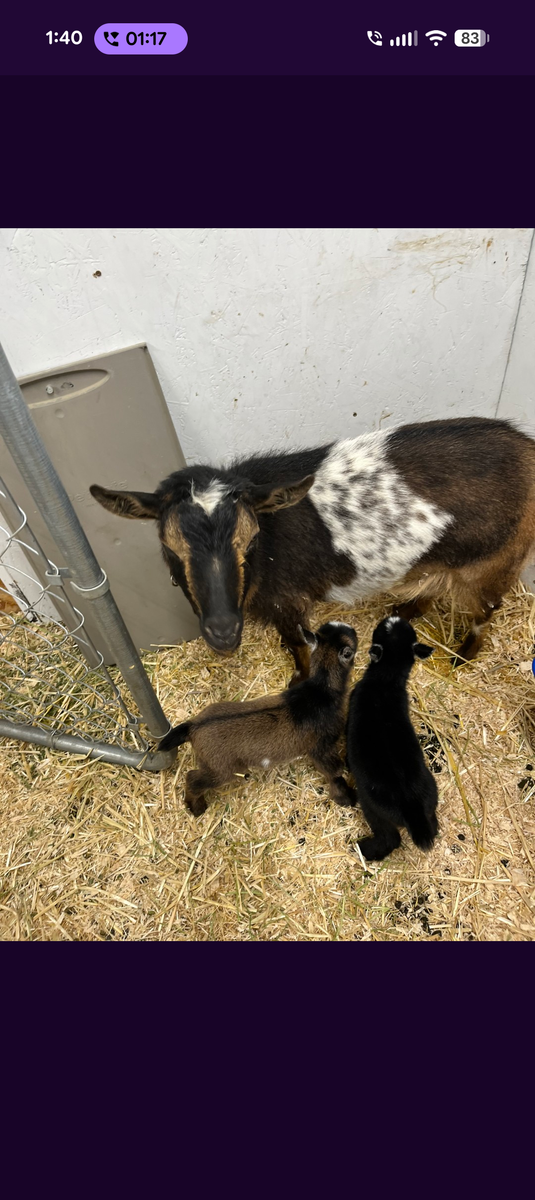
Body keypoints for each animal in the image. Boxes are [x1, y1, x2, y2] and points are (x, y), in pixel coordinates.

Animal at [90, 417, 535, 679]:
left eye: (251, 541)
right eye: (169, 547)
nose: (223, 632)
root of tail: (527, 448)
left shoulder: (286, 602)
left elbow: (299, 647)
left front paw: (300, 682)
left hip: (494, 562)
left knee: (485, 612)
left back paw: (463, 656)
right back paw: (404, 610)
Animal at [158, 621, 357, 817]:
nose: (354, 630)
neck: (320, 691)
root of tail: (193, 727)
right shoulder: (321, 746)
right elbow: (334, 771)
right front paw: (345, 798)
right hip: (221, 769)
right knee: (193, 779)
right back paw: (196, 808)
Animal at [346, 616, 439, 861]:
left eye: (380, 630)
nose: (391, 617)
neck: (386, 681)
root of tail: (413, 810)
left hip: (372, 808)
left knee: (390, 839)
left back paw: (363, 849)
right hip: (431, 797)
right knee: (434, 826)